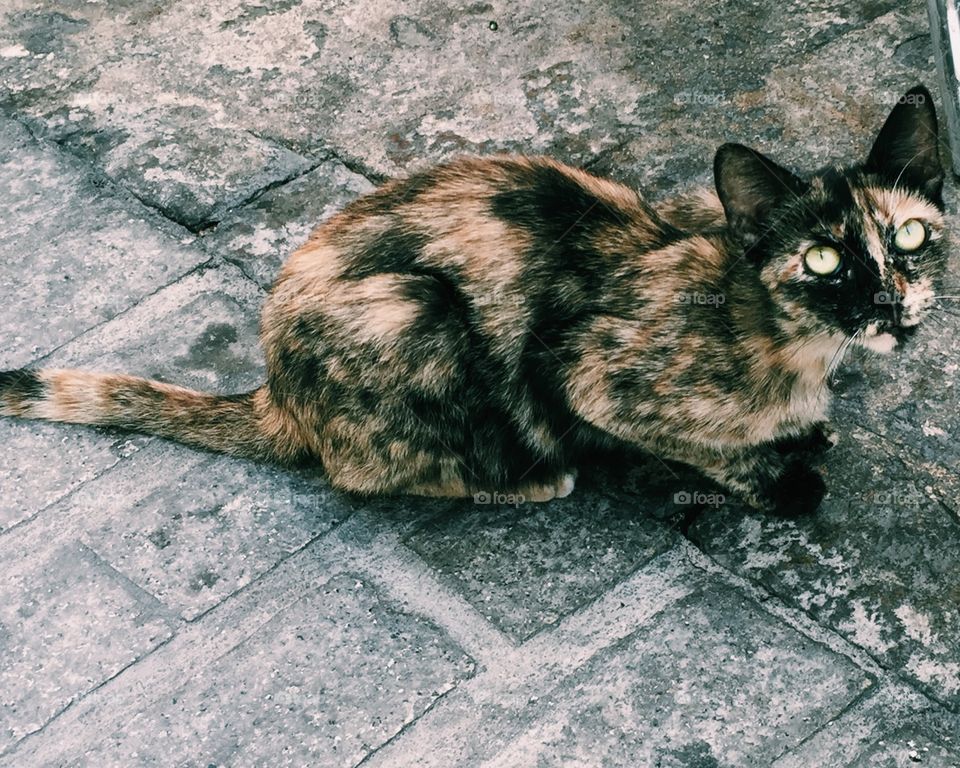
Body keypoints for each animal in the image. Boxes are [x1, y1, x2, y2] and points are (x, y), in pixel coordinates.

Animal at [0, 85, 944, 516]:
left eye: (910, 236)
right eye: (822, 258)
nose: (890, 300)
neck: (800, 349)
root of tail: (275, 388)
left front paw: (804, 434)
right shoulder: (585, 374)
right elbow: (698, 447)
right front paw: (774, 475)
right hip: (415, 311)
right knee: (364, 471)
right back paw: (525, 479)